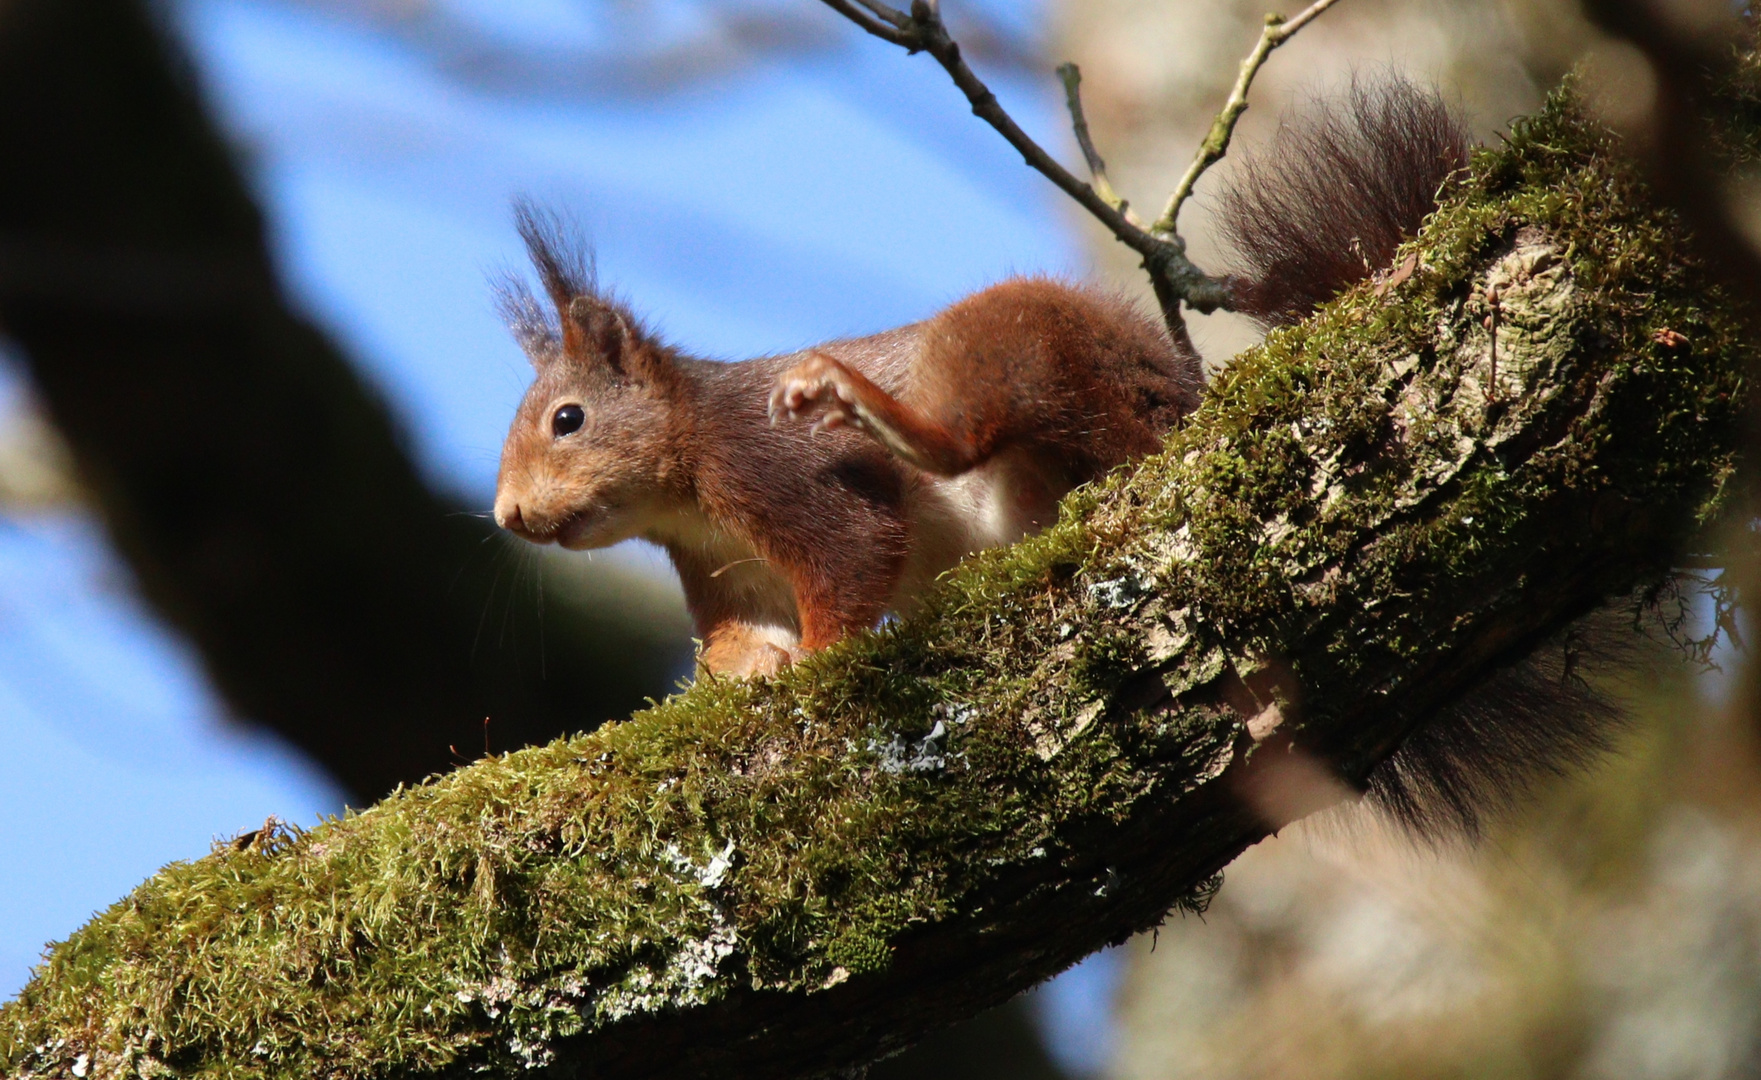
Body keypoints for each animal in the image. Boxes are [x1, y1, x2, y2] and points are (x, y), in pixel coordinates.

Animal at [489, 81, 1465, 673]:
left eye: (567, 420)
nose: (507, 516)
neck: (687, 472)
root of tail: (1180, 401)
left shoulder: (779, 469)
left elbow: (856, 552)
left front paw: (822, 658)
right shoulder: (723, 569)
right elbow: (743, 642)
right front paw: (732, 679)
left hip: (1009, 340)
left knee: (962, 437)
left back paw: (866, 404)